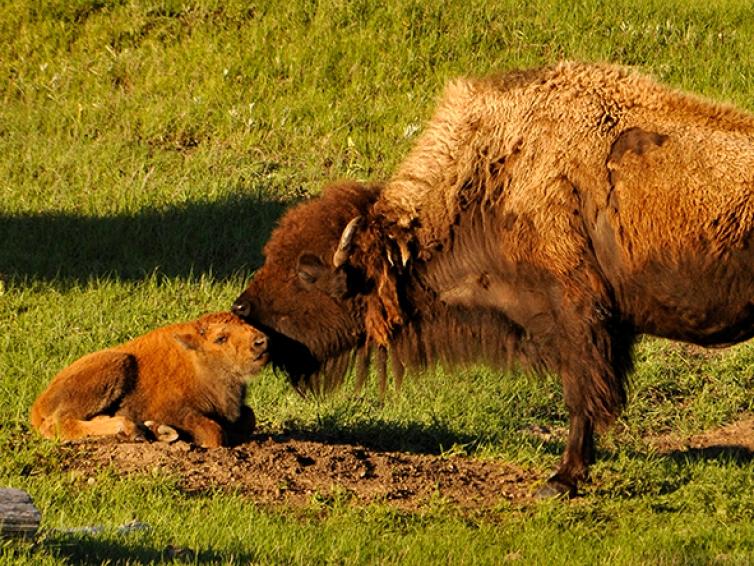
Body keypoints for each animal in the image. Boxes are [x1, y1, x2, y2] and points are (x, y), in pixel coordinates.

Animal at [31, 310, 268, 448]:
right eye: (220, 338)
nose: (260, 341)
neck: (196, 361)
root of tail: (38, 403)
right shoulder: (173, 410)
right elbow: (215, 434)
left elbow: (249, 417)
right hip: (117, 364)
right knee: (58, 423)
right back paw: (131, 429)